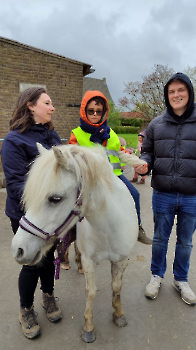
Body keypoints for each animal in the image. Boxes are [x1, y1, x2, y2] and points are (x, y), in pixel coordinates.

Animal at [10, 144, 145, 344]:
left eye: (55, 199)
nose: (18, 249)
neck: (108, 228)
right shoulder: (90, 261)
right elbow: (91, 292)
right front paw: (88, 328)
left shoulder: (121, 261)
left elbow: (116, 287)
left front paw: (119, 314)